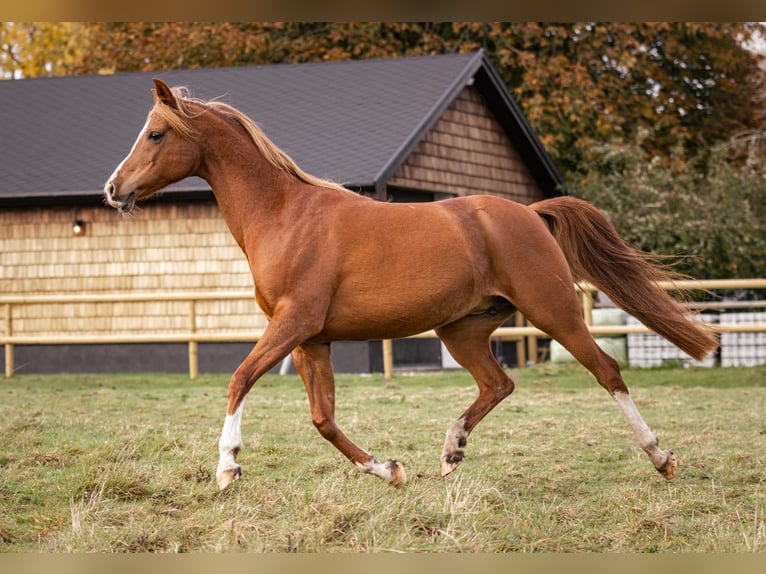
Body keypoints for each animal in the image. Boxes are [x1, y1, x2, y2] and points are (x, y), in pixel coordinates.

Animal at [104, 79, 718, 491]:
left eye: (155, 133)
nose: (113, 188)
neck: (284, 214)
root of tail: (529, 213)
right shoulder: (311, 339)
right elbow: (323, 418)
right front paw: (390, 469)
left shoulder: (293, 323)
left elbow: (239, 379)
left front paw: (227, 466)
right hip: (462, 330)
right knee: (498, 383)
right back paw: (451, 452)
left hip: (554, 312)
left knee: (606, 371)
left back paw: (661, 457)